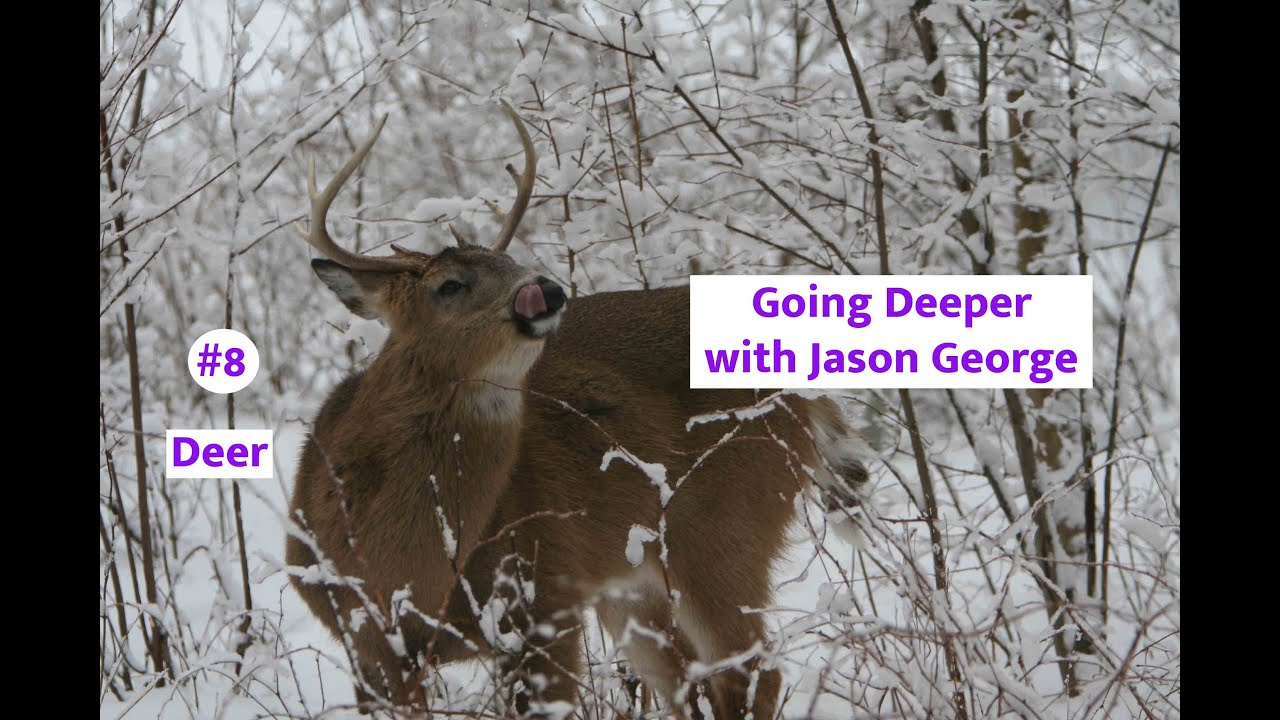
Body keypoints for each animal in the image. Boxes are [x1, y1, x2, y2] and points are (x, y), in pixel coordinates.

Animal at [284, 100, 870, 720]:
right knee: (694, 683)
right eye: (449, 285)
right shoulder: (366, 642)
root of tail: (807, 392)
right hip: (637, 582)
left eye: (510, 259)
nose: (544, 290)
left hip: (726, 529)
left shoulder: (545, 594)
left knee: (750, 674)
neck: (402, 566)